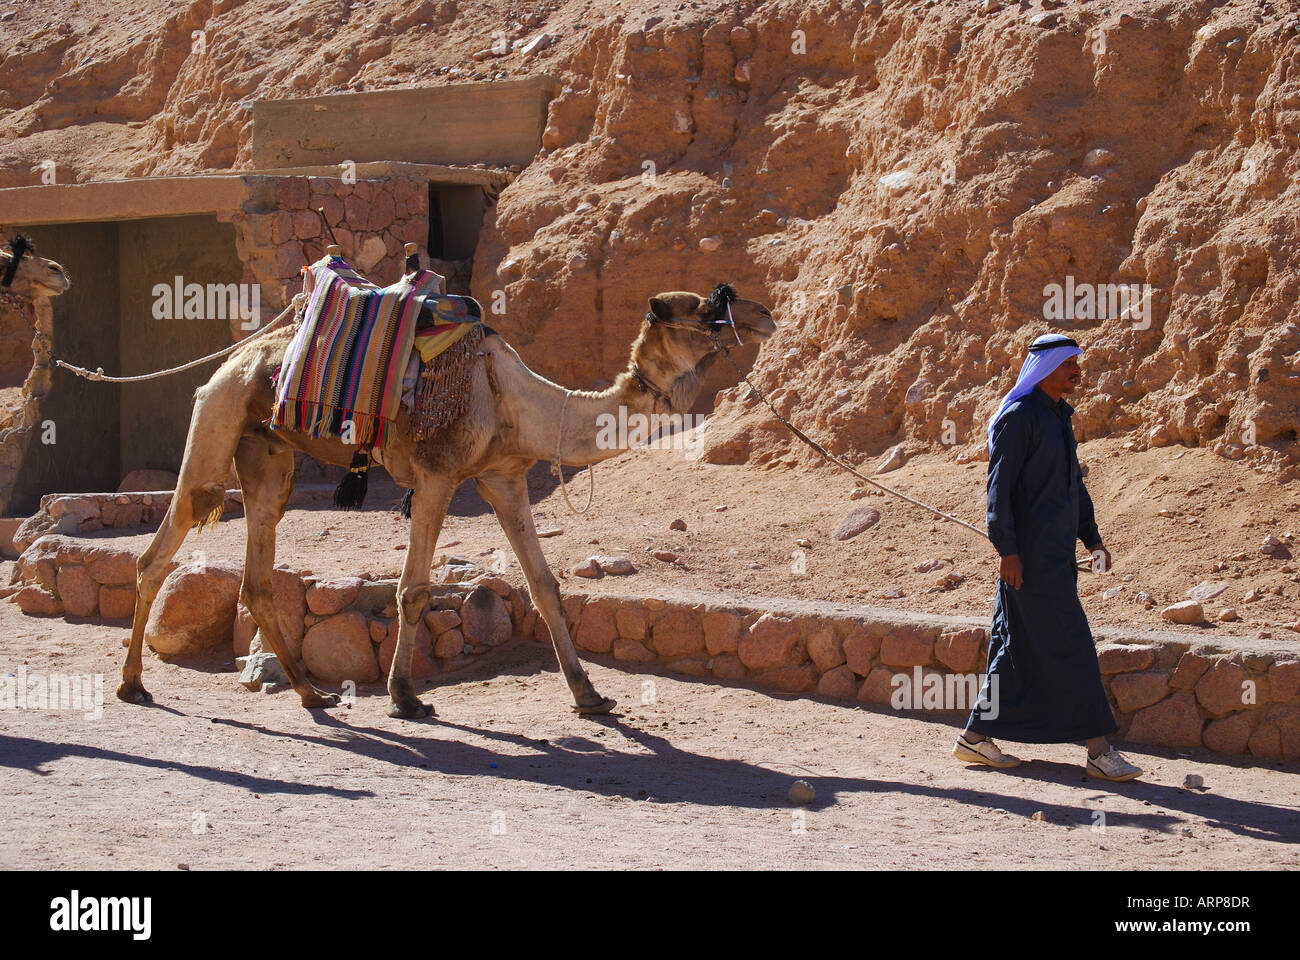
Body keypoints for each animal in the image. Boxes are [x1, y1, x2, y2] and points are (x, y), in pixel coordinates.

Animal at [119, 273, 769, 712]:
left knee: (257, 571)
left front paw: (591, 697)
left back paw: (313, 695)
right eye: (706, 308)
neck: (517, 402)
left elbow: (545, 586)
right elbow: (413, 590)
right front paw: (405, 697)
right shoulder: (436, 476)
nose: (764, 313)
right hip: (216, 422)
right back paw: (133, 685)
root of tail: (233, 362)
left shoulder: (504, 478)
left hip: (267, 455)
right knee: (161, 547)